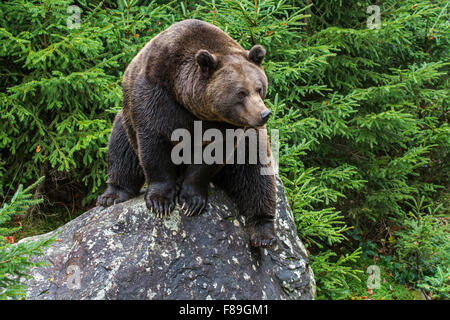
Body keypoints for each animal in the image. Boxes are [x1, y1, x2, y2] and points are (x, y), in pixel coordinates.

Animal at [96, 18, 276, 248]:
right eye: (241, 93)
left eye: (259, 88)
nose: (264, 114)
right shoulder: (157, 96)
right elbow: (155, 144)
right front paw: (160, 201)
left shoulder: (227, 126)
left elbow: (211, 157)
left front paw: (191, 201)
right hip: (126, 119)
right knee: (121, 151)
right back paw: (112, 195)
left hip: (251, 139)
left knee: (257, 176)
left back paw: (263, 234)